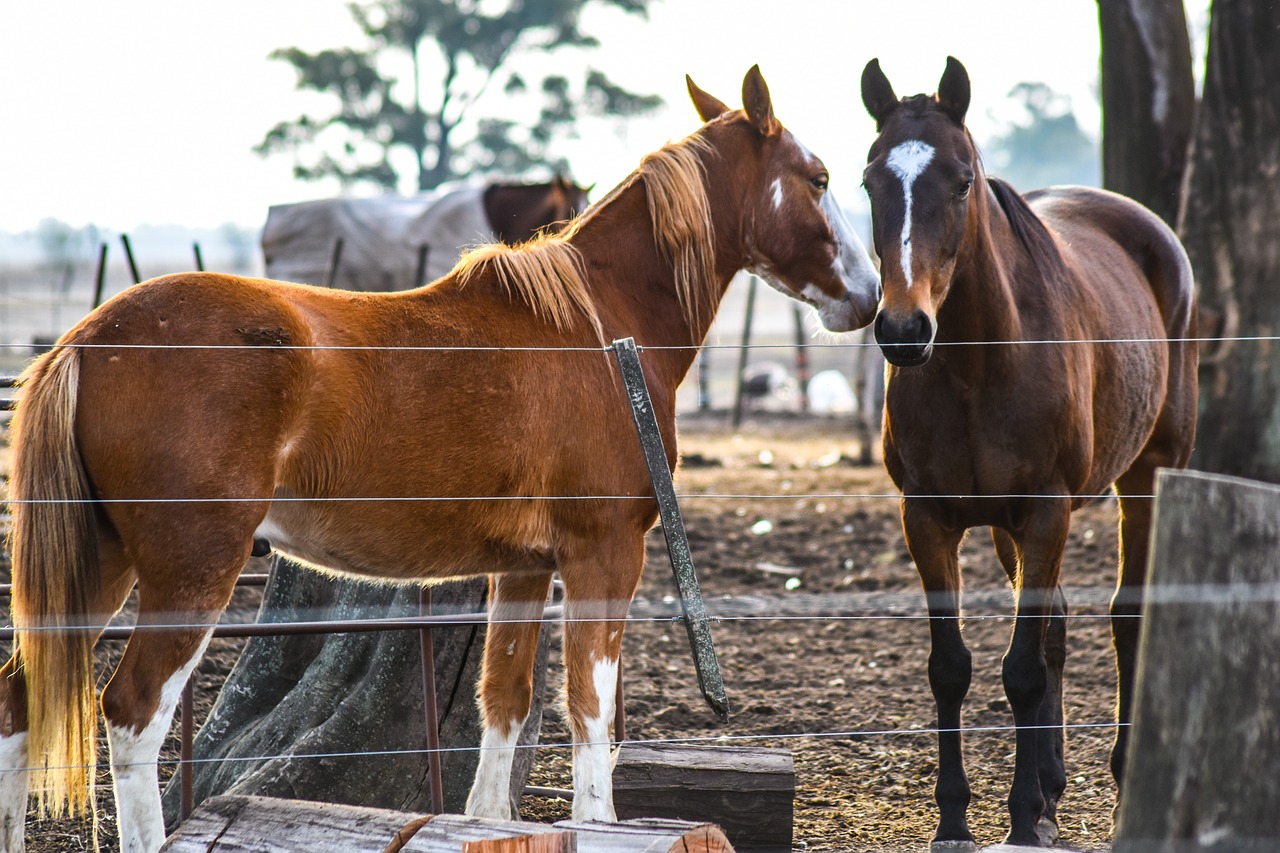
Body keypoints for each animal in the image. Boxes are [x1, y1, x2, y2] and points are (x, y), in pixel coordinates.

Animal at [0, 68, 880, 850]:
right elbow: (591, 713)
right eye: (819, 177)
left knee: (17, 703)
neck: (597, 327)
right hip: (190, 572)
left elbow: (506, 706)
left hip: (104, 564)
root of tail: (89, 338)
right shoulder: (603, 554)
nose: (870, 297)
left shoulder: (524, 569)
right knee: (133, 717)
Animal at [860, 58, 1198, 845]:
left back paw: (1114, 783)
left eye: (961, 180)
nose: (903, 328)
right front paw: (957, 820)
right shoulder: (929, 517)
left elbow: (1020, 671)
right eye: (868, 182)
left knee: (1123, 615)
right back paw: (1049, 788)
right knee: (1056, 626)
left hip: (1147, 472)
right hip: (1012, 527)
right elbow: (952, 665)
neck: (980, 363)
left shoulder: (1046, 510)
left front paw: (1016, 822)